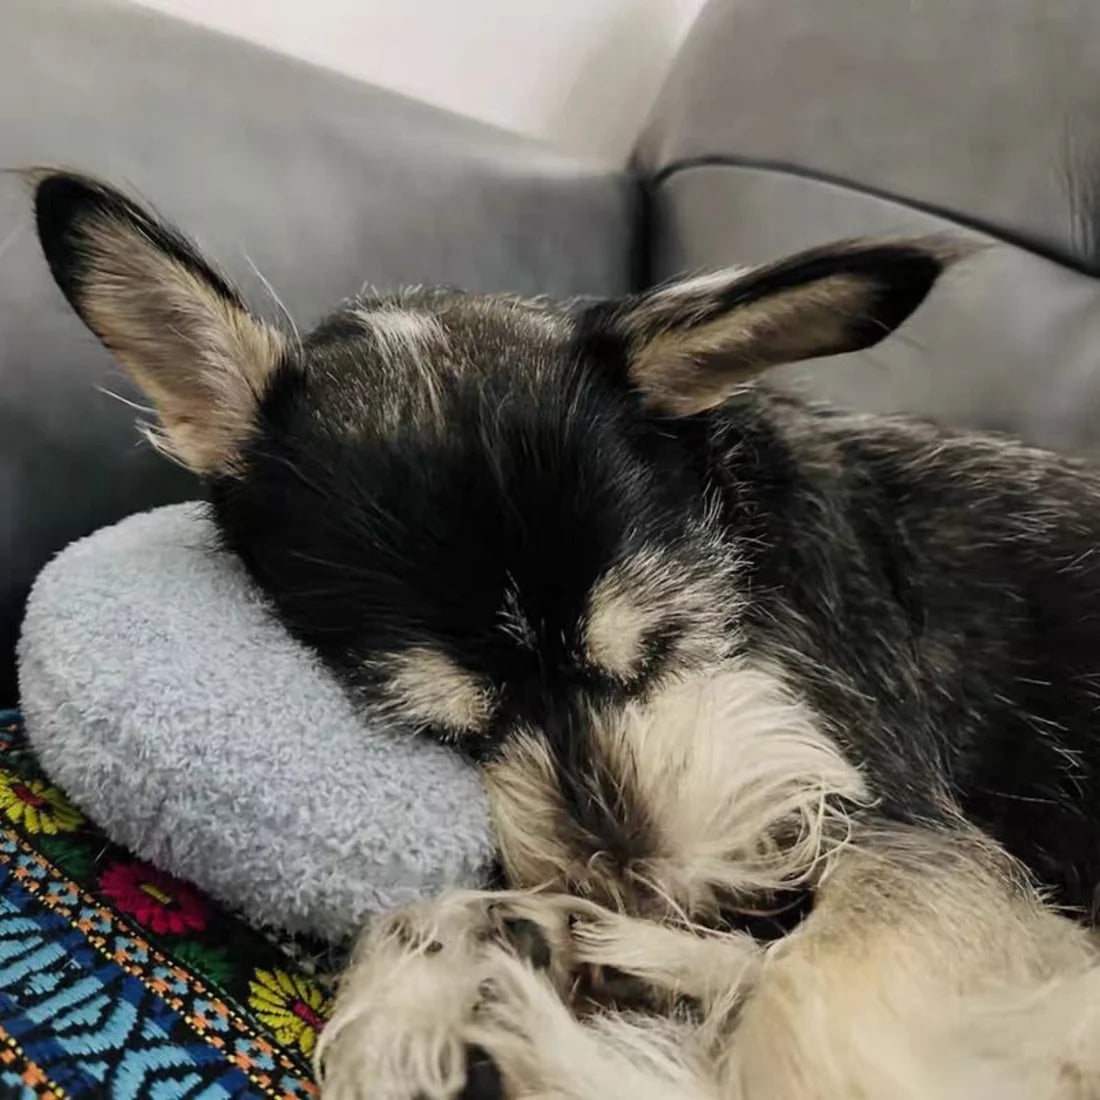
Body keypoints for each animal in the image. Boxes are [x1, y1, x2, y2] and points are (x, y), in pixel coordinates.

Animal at [30, 173, 1100, 1100]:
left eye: (661, 648)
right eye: (446, 731)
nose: (654, 894)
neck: (741, 531)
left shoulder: (915, 835)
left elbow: (804, 1016)